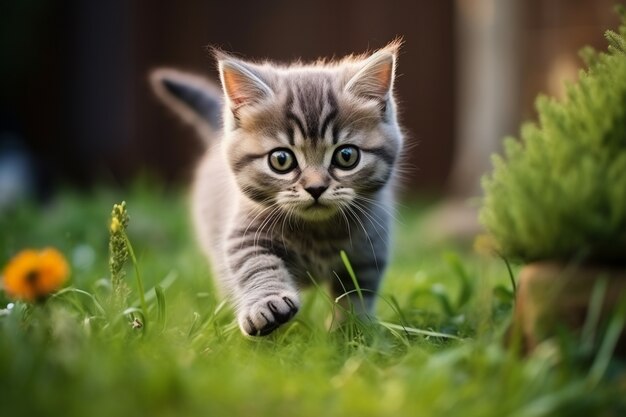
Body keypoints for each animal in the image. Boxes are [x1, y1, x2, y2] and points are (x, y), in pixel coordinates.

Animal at [152, 41, 404, 334]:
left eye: (346, 156)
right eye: (281, 160)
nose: (316, 188)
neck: (317, 234)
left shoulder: (370, 247)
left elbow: (358, 291)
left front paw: (353, 329)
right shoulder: (245, 233)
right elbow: (255, 266)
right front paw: (267, 306)